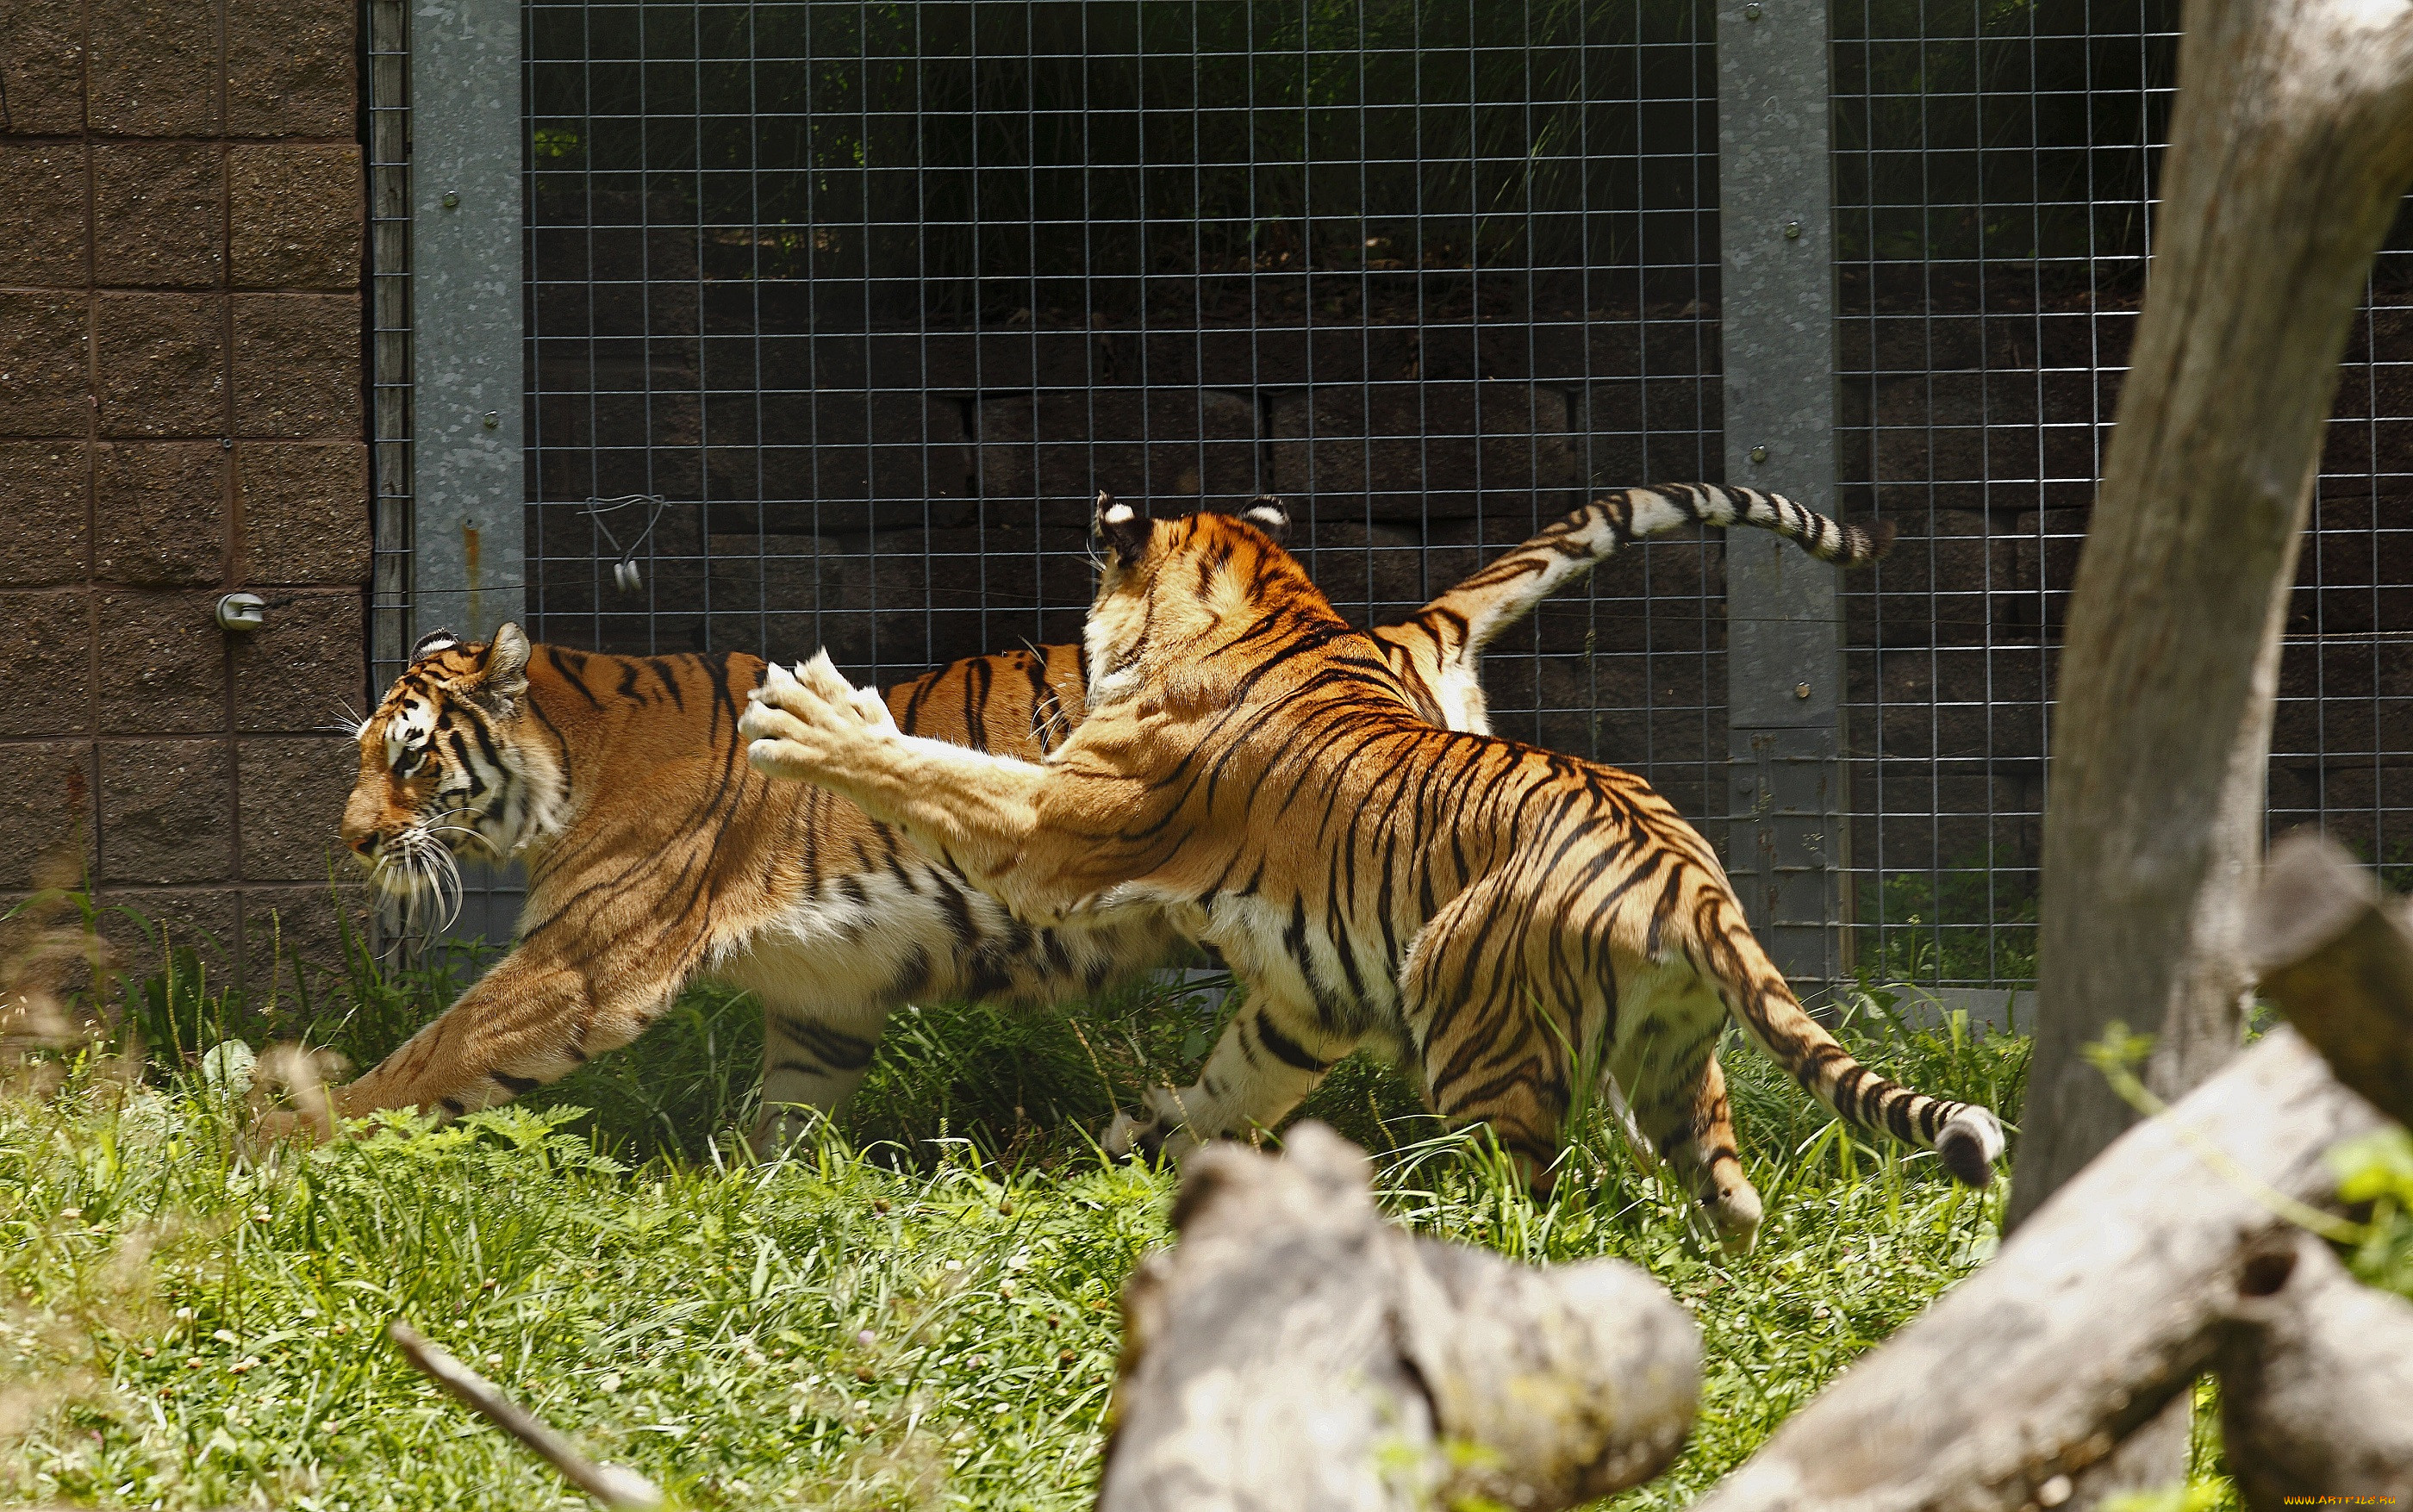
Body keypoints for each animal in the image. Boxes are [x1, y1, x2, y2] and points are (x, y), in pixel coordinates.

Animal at [738, 484, 1998, 1244]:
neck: (1270, 604)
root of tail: (1687, 876)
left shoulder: (1056, 822)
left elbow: (935, 769)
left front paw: (811, 719)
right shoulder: (1304, 992)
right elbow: (1234, 1079)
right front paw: (1157, 1151)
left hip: (1473, 1026)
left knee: (1527, 1198)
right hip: (1672, 1063)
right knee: (1729, 1196)